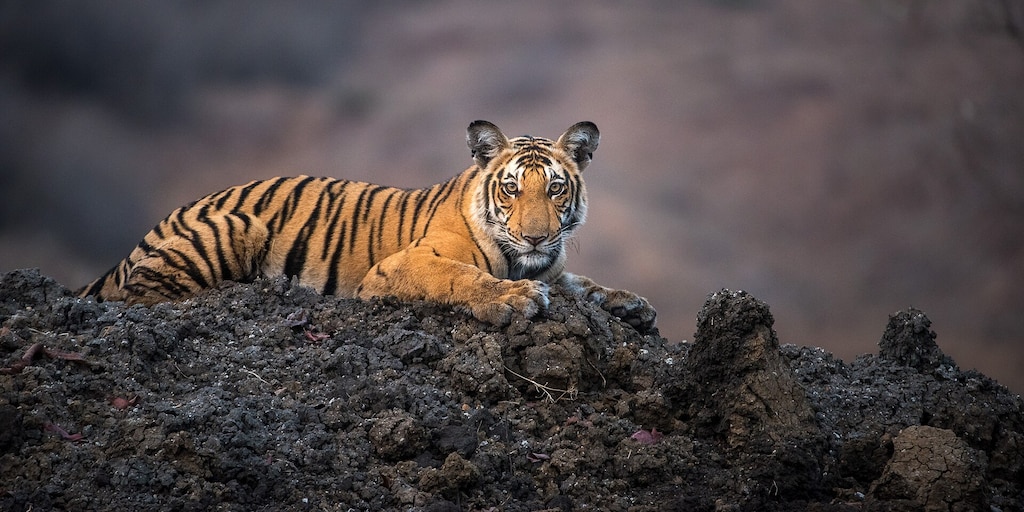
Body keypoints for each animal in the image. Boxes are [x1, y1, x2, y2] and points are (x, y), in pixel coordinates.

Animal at [77, 120, 656, 331]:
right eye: (512, 188)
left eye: (555, 188)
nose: (536, 235)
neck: (526, 259)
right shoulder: (403, 264)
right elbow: (461, 276)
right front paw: (513, 299)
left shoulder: (556, 268)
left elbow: (583, 283)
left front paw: (631, 304)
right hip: (238, 227)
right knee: (141, 296)